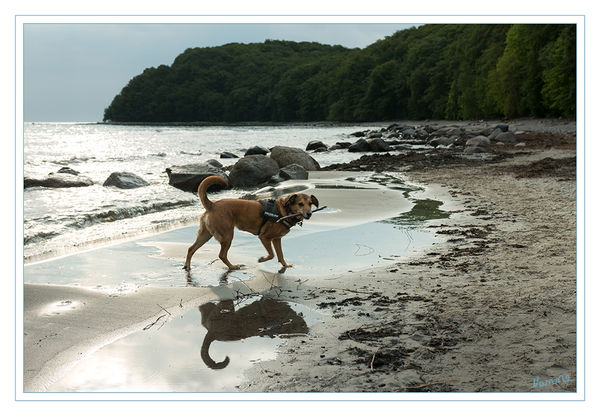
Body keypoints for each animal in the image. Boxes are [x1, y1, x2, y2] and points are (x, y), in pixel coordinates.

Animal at [183, 175, 322, 270]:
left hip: (206, 235)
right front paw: (262, 259)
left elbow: (280, 254)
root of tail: (212, 205)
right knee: (221, 255)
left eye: (310, 204)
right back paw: (233, 266)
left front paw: (285, 265)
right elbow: (272, 254)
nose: (309, 213)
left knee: (191, 249)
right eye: (300, 204)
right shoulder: (264, 237)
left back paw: (187, 266)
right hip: (227, 235)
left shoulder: (277, 239)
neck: (285, 210)